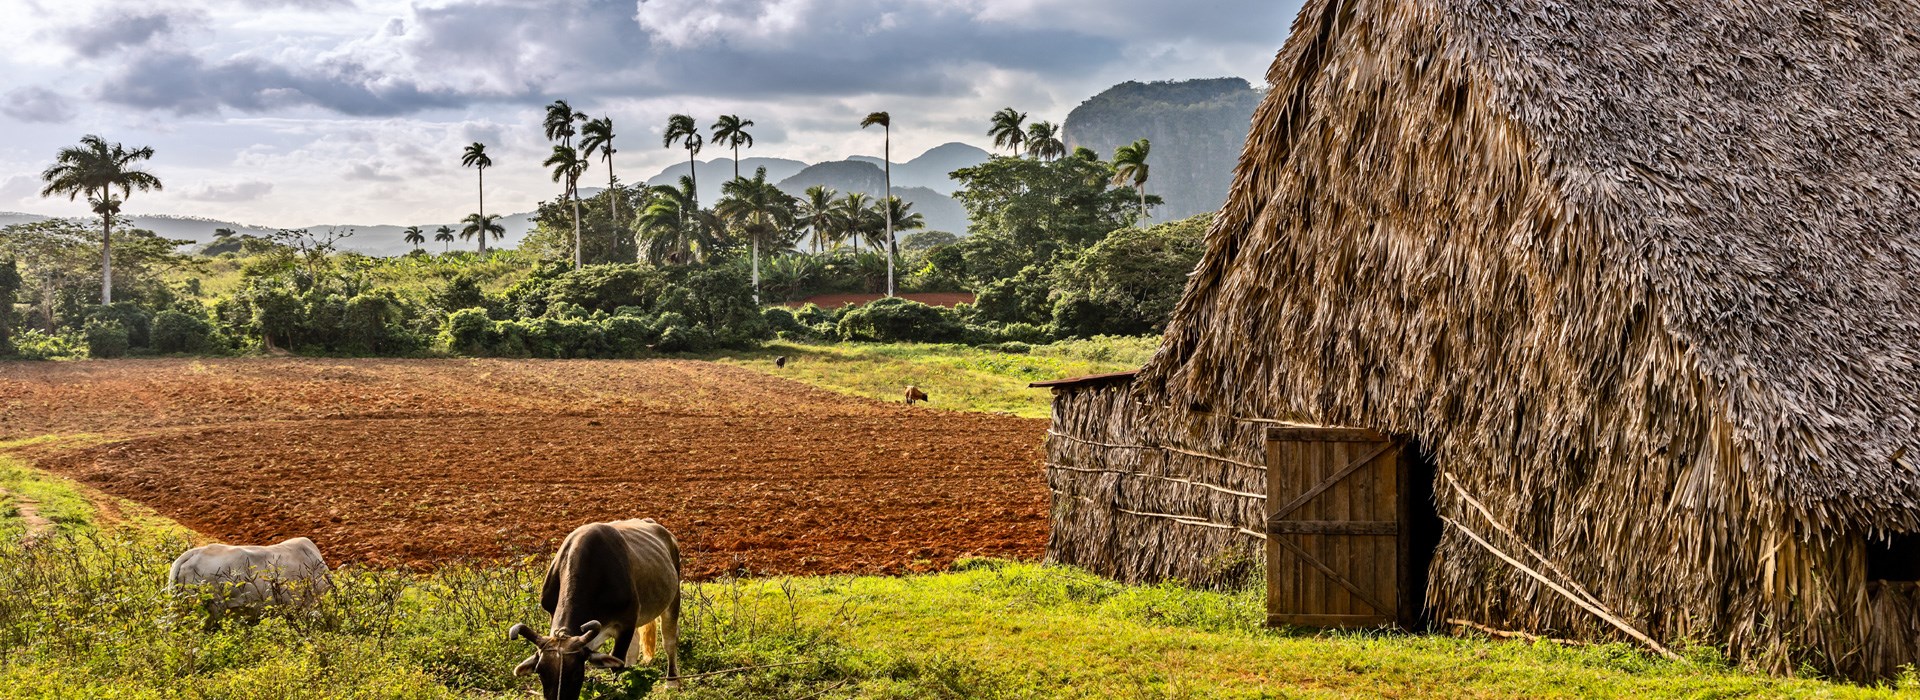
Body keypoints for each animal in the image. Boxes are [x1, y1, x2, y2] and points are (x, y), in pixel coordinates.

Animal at [510, 513, 683, 694]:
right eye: (540, 672)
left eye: (576, 672)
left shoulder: (626, 624)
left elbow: (617, 664)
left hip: (673, 598)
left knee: (669, 640)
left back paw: (672, 681)